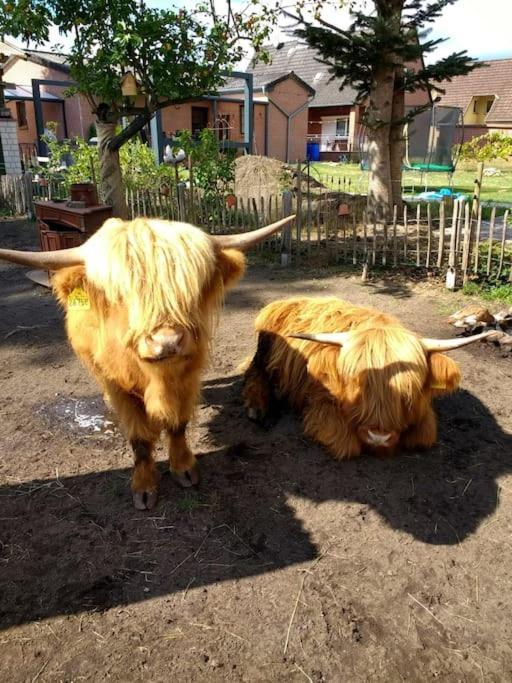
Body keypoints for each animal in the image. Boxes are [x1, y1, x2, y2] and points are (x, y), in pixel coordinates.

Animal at [0, 216, 294, 510]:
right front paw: (144, 487)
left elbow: (178, 424)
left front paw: (184, 467)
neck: (157, 378)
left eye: (191, 289)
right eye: (121, 294)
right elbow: (140, 439)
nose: (168, 341)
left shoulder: (188, 377)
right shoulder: (118, 385)